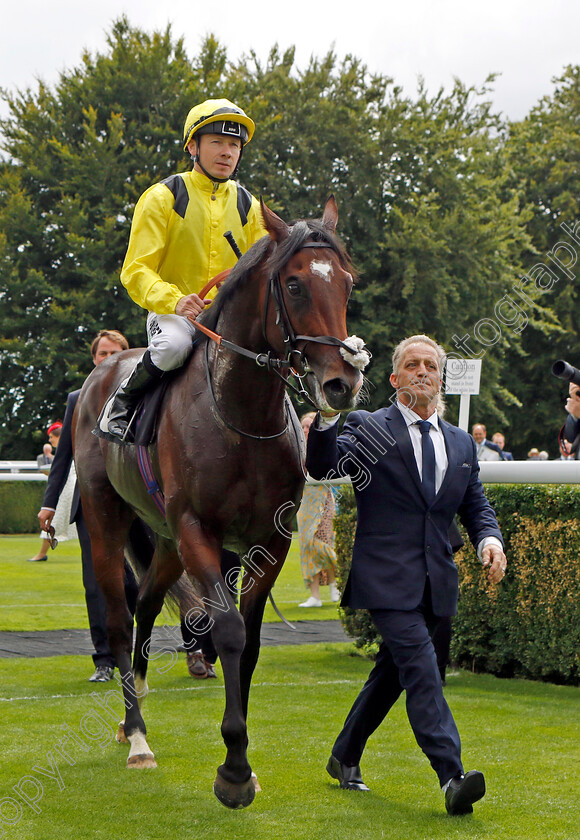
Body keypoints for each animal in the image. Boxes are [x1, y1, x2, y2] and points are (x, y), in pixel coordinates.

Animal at [72, 195, 368, 808]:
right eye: (295, 283)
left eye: (347, 283)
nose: (341, 384)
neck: (240, 415)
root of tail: (101, 373)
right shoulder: (198, 530)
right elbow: (227, 630)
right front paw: (233, 770)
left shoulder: (269, 540)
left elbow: (249, 643)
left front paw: (243, 761)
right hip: (108, 520)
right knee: (118, 617)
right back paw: (137, 735)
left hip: (163, 540)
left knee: (145, 604)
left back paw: (133, 716)